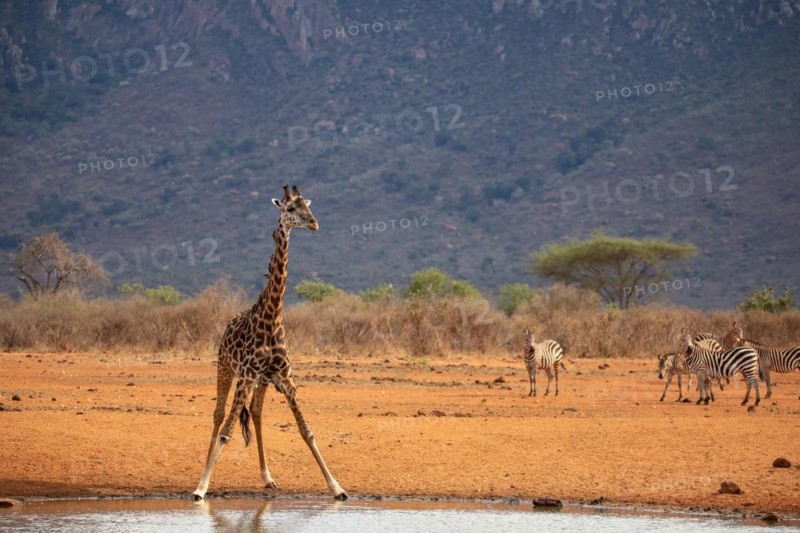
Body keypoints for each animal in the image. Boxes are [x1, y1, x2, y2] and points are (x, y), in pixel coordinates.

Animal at [192, 184, 347, 501]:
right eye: (289, 208)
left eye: (308, 206)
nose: (313, 223)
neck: (273, 317)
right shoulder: (246, 375)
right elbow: (226, 432)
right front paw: (201, 487)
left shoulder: (285, 378)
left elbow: (306, 430)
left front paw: (337, 487)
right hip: (226, 368)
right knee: (218, 415)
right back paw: (204, 472)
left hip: (260, 381)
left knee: (256, 412)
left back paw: (267, 477)